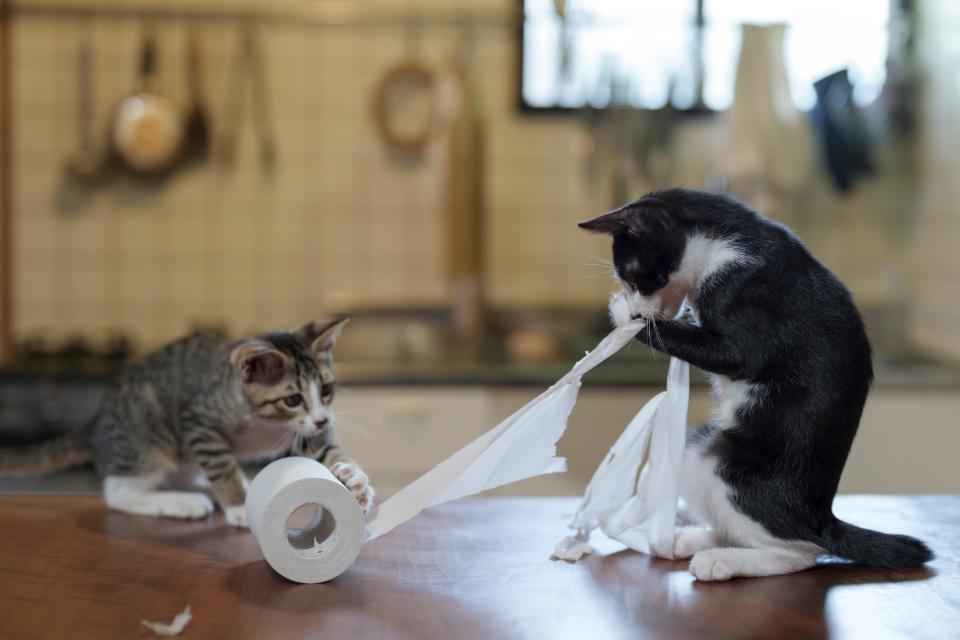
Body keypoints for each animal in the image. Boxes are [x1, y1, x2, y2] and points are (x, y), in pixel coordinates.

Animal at [0, 318, 376, 524]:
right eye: (293, 399)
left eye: (326, 389)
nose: (322, 419)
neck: (264, 422)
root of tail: (94, 420)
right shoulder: (199, 422)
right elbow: (221, 465)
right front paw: (239, 506)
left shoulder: (309, 431)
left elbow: (327, 449)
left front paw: (353, 478)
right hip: (149, 435)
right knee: (118, 491)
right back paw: (181, 502)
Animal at [580, 188, 932, 584]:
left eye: (634, 277)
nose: (638, 302)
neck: (727, 241)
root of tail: (821, 517)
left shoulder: (748, 300)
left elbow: (728, 353)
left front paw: (627, 314)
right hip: (696, 447)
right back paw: (689, 540)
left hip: (729, 466)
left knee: (800, 551)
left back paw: (722, 561)